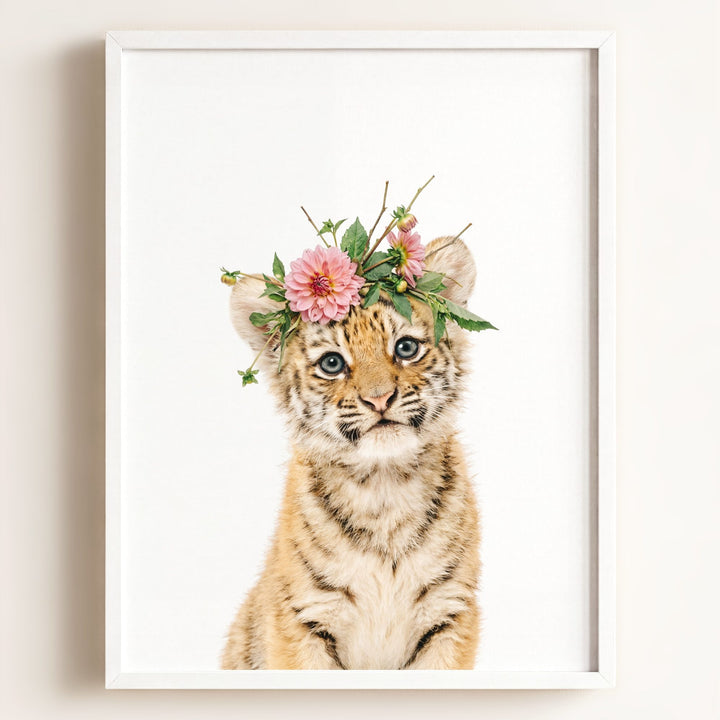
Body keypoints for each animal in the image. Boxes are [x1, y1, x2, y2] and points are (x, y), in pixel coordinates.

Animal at [221, 236, 481, 670]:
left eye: (405, 347)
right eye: (332, 363)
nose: (379, 399)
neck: (384, 486)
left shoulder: (449, 613)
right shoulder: (303, 618)